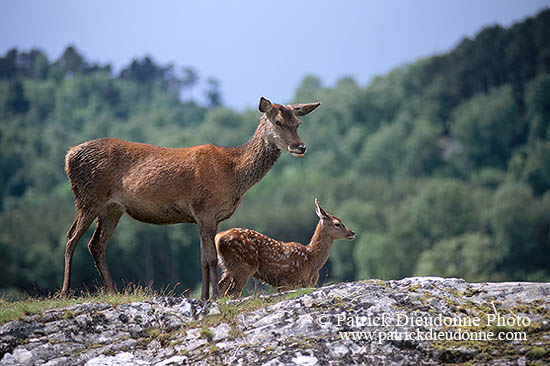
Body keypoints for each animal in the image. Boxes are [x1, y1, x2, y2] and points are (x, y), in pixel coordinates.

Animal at [61, 96, 322, 298]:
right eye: (278, 121)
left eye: (298, 122)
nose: (300, 147)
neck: (234, 174)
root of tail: (68, 155)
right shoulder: (205, 209)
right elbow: (211, 258)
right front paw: (215, 297)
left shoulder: (204, 216)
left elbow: (203, 259)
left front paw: (204, 297)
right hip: (88, 197)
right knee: (71, 237)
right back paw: (65, 292)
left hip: (112, 208)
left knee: (96, 244)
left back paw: (113, 290)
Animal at [216, 197, 358, 298]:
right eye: (337, 224)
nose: (352, 232)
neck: (311, 260)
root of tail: (218, 238)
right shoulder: (286, 281)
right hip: (243, 266)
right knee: (231, 292)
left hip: (228, 266)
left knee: (221, 286)